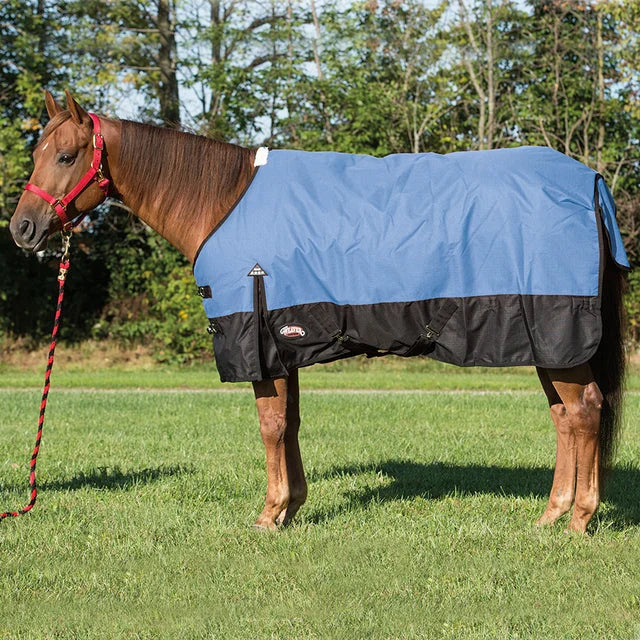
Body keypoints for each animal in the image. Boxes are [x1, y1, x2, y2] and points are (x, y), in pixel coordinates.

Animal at [9, 91, 627, 533]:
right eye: (36, 153)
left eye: (65, 155)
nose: (23, 229)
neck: (223, 201)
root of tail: (590, 183)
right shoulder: (285, 341)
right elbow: (291, 423)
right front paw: (292, 508)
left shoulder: (256, 341)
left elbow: (270, 425)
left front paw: (269, 515)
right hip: (547, 344)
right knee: (565, 418)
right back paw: (550, 515)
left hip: (558, 334)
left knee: (585, 412)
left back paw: (579, 521)